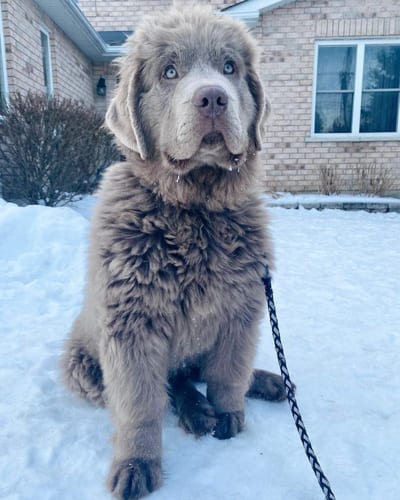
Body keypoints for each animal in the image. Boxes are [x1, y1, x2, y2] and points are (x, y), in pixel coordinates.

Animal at [61, 7, 286, 500]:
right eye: (169, 72)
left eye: (229, 68)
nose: (213, 99)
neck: (195, 209)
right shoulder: (132, 323)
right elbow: (141, 403)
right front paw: (137, 465)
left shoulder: (241, 309)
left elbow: (228, 371)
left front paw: (229, 415)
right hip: (82, 367)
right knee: (168, 385)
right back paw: (194, 411)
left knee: (196, 373)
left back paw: (264, 384)